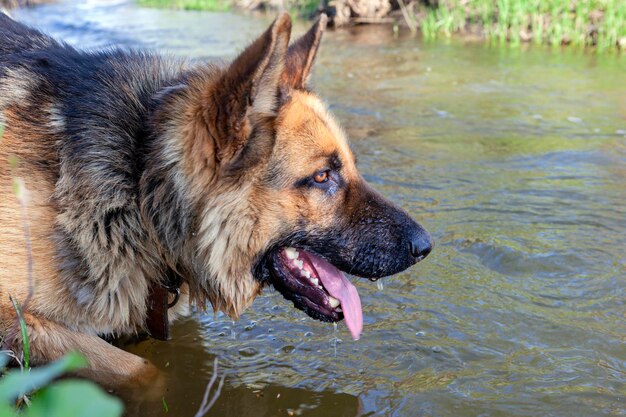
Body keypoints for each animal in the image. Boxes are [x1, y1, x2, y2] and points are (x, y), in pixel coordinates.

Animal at [0, 12, 428, 384]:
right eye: (322, 176)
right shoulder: (17, 318)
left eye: (352, 166)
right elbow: (143, 370)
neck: (139, 186)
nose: (425, 246)